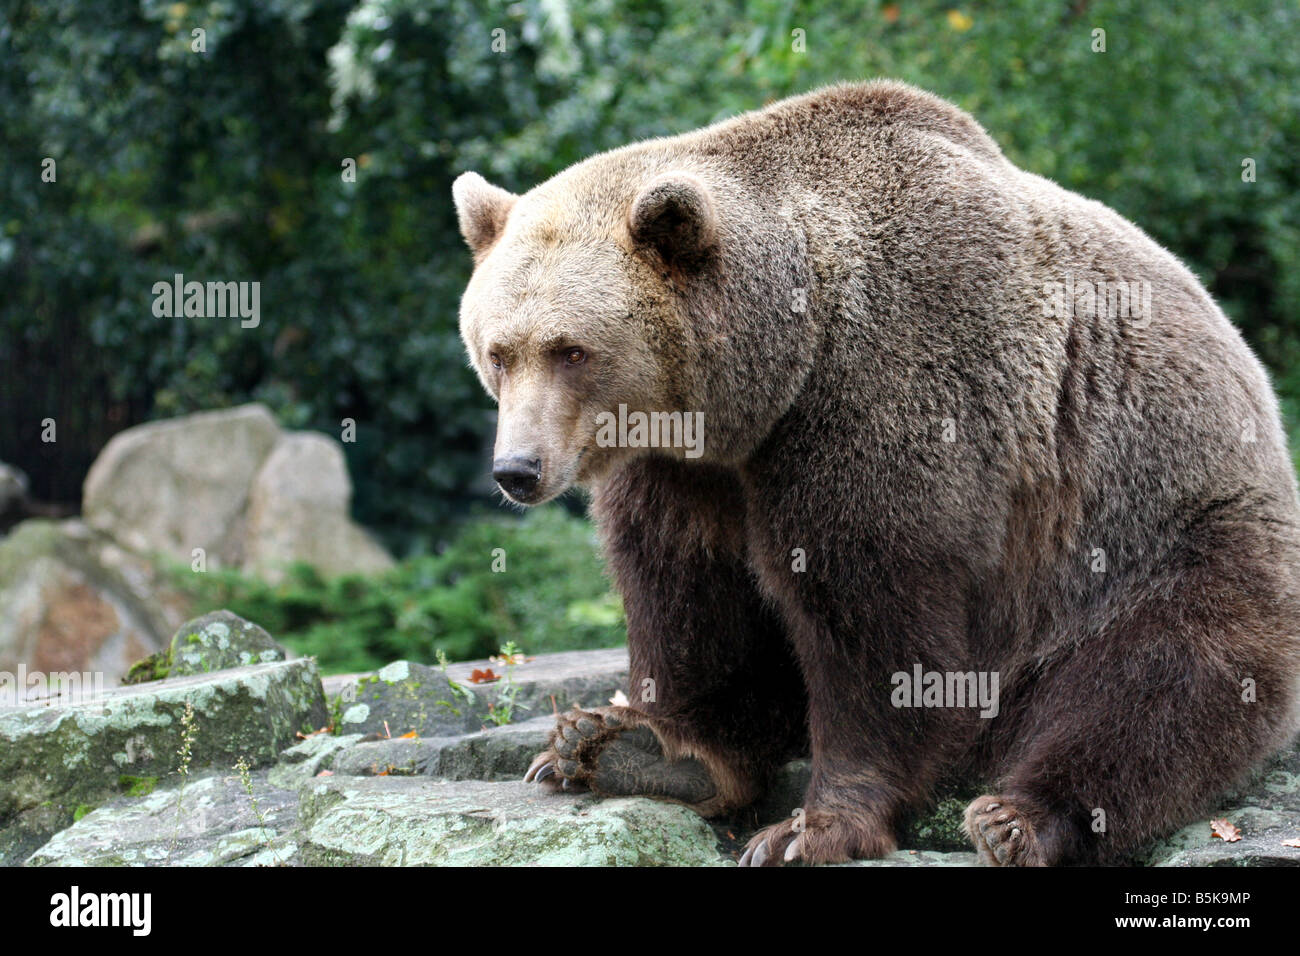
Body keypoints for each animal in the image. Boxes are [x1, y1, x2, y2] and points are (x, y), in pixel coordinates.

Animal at [449, 78, 1300, 863]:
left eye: (571, 350)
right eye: (499, 350)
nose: (517, 469)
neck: (770, 378)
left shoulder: (887, 393)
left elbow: (874, 618)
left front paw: (811, 827)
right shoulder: (689, 464)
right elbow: (687, 584)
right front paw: (647, 748)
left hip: (1161, 531)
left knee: (1159, 678)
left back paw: (1018, 817)